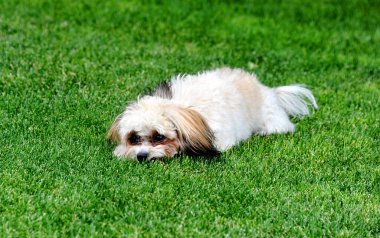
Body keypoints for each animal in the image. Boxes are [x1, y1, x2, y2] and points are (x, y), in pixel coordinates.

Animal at [107, 67, 318, 162]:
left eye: (159, 137)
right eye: (133, 138)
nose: (141, 155)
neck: (184, 107)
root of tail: (269, 91)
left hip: (273, 121)